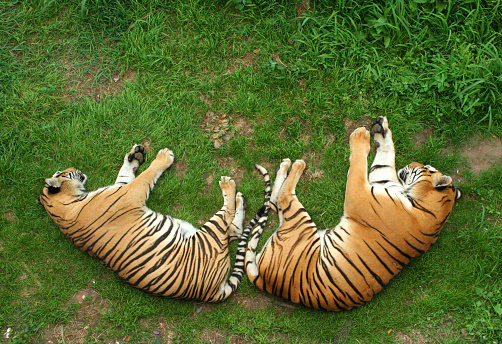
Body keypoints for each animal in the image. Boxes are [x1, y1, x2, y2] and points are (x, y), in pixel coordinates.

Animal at [39, 142, 270, 300]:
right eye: (61, 172)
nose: (75, 169)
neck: (66, 206)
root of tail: (211, 293)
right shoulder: (132, 192)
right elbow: (148, 174)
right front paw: (164, 156)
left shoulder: (122, 186)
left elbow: (125, 172)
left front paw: (135, 154)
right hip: (209, 236)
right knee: (228, 220)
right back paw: (229, 186)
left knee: (235, 230)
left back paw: (240, 199)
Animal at [245, 117, 460, 310]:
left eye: (426, 168)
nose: (412, 163)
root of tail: (266, 281)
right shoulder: (381, 181)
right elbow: (384, 160)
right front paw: (382, 129)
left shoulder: (359, 195)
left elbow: (358, 164)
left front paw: (360, 135)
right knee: (274, 202)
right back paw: (285, 164)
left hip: (301, 224)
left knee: (281, 198)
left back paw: (296, 164)